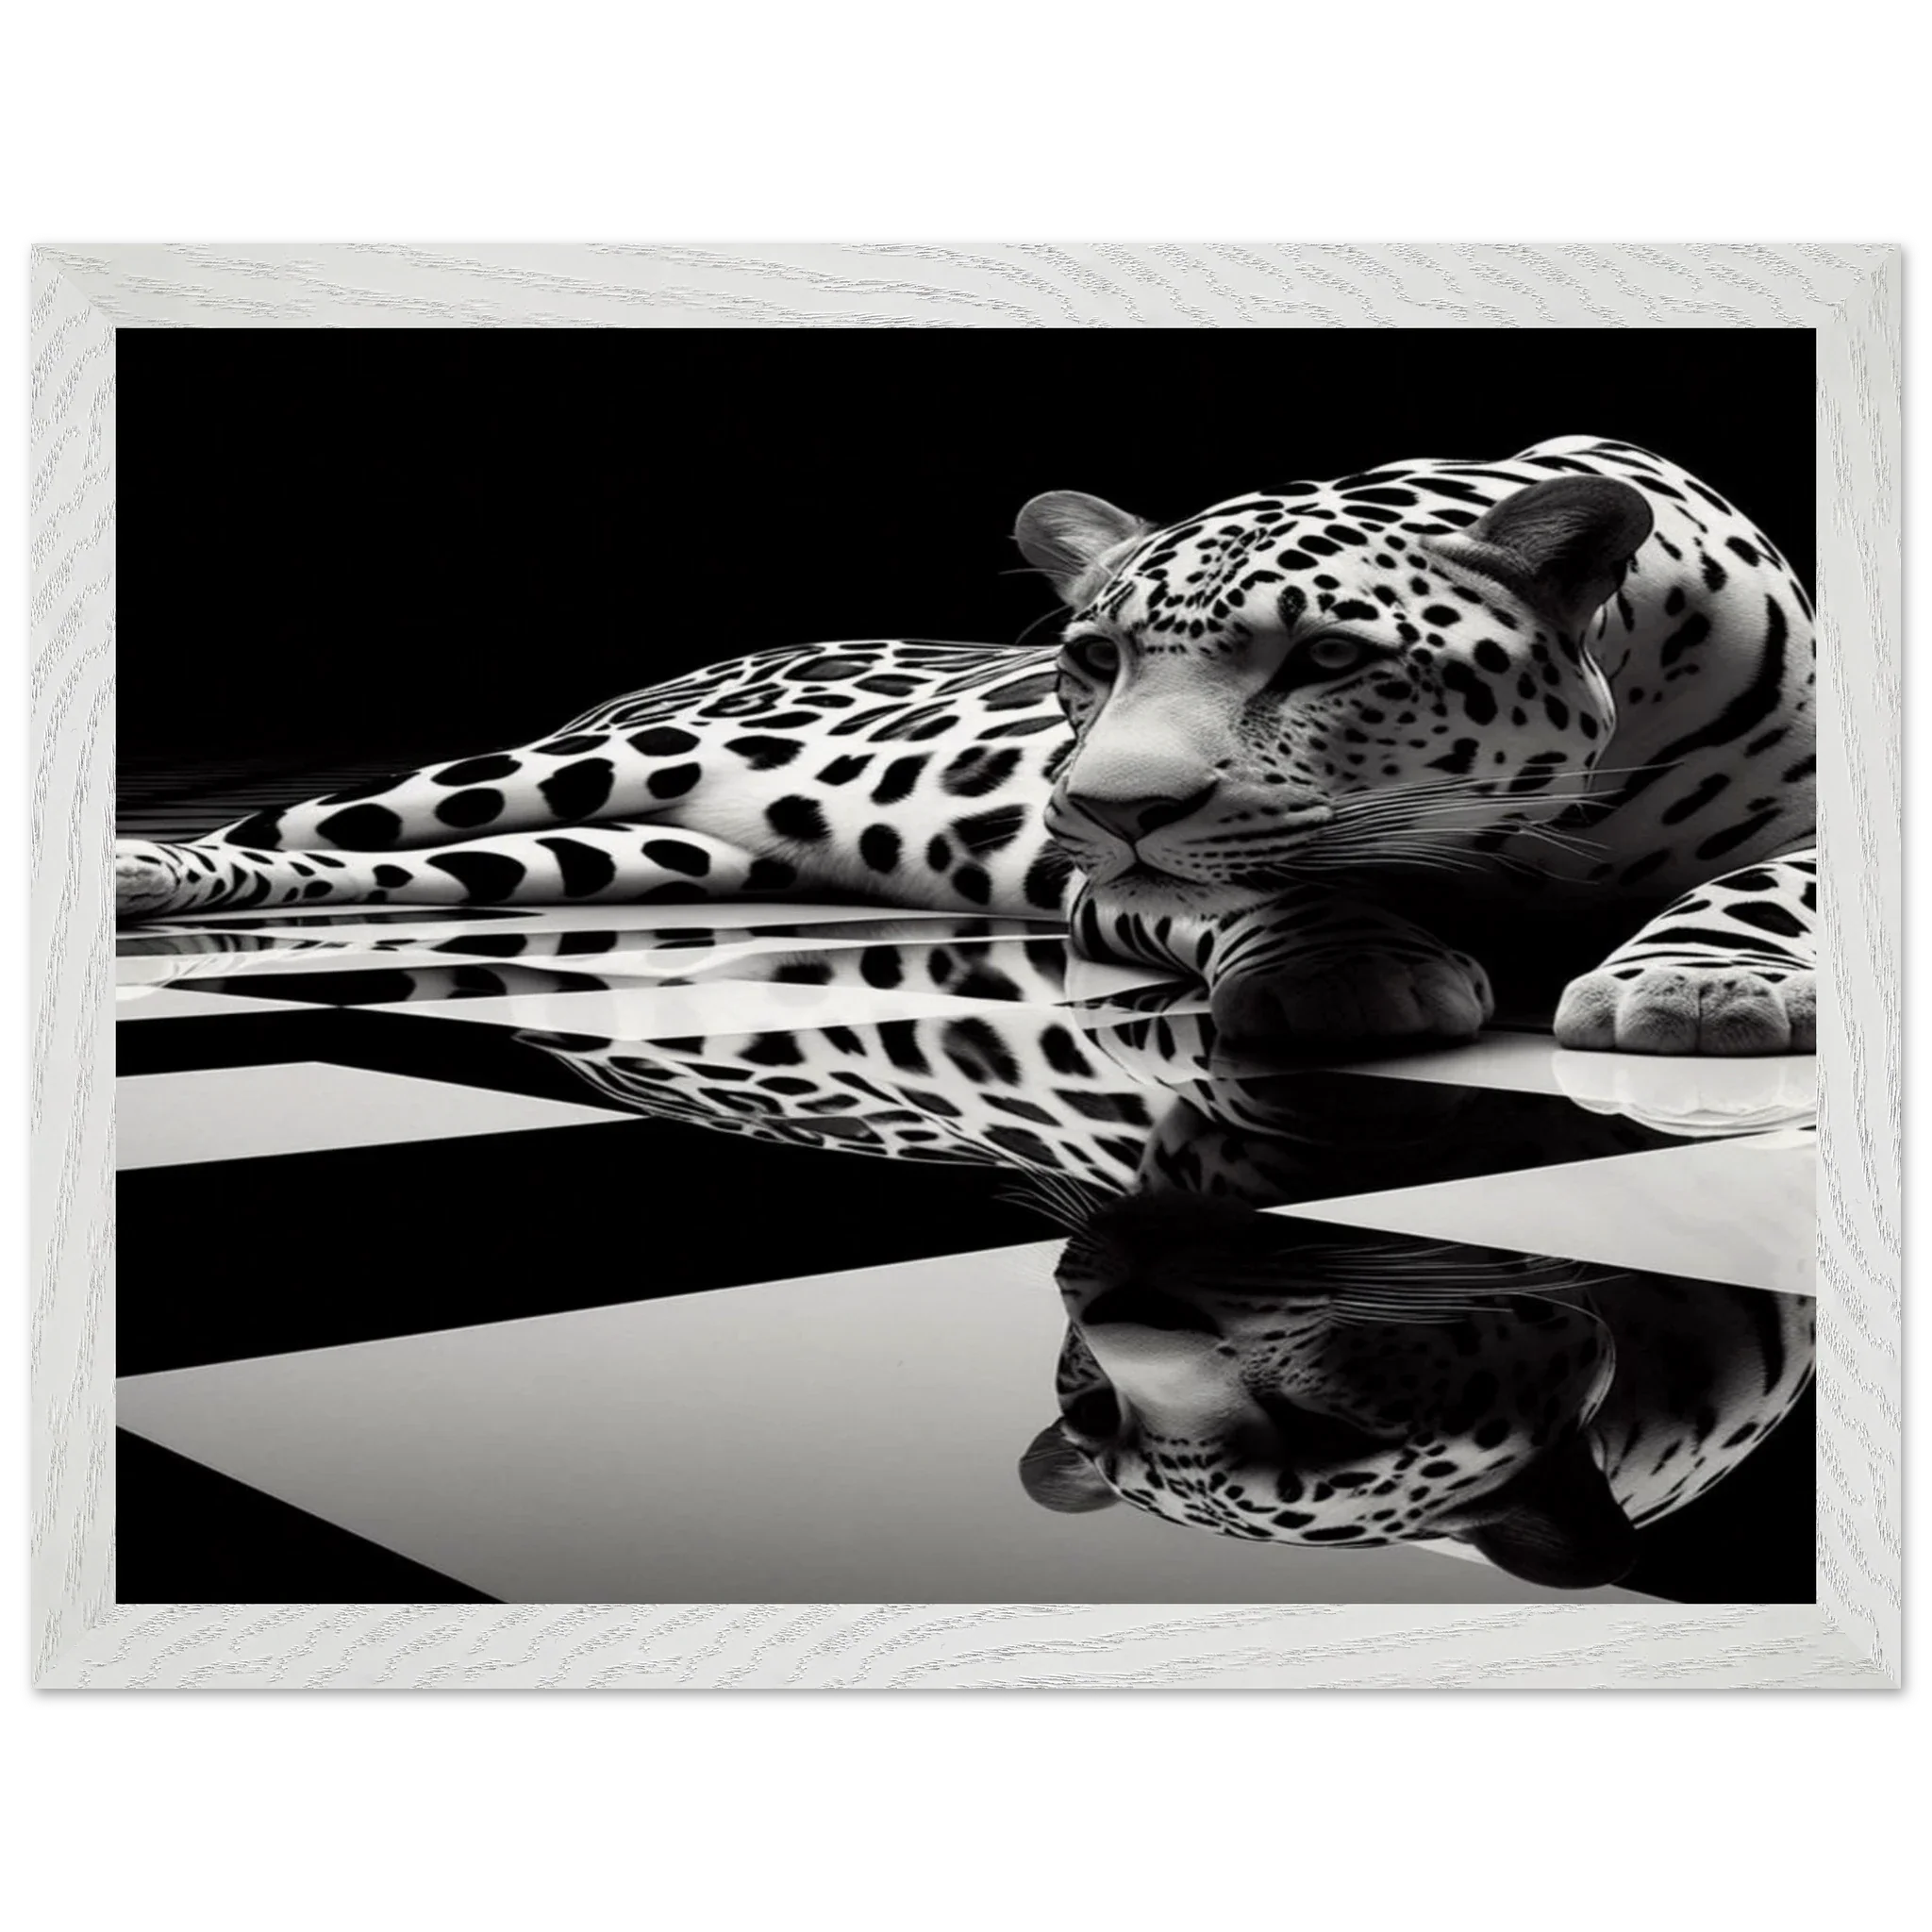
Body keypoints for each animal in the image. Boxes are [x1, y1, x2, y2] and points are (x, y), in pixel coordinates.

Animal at [113, 435, 1819, 1057]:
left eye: (1329, 659)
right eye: (1092, 659)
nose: (1103, 803)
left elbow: (1769, 883)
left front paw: (1696, 982)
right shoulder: (1118, 886)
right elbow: (1264, 884)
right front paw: (1349, 967)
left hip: (611, 850)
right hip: (558, 772)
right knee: (298, 828)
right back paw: (147, 873)